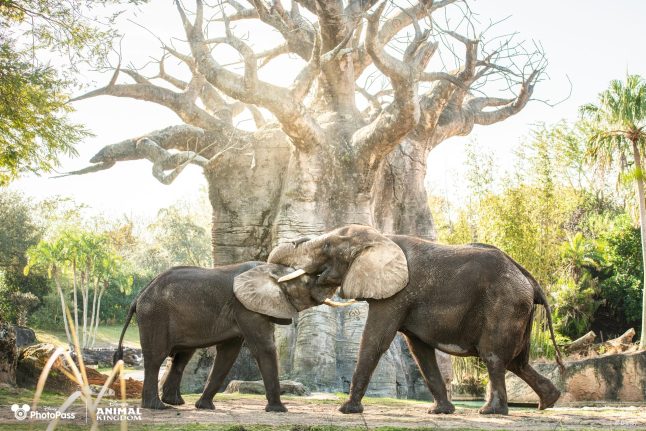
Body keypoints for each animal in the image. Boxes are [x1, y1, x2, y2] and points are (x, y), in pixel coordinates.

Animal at [113, 261, 341, 411]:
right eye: (308, 281)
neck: (270, 269)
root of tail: (138, 296)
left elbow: (228, 354)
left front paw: (204, 407)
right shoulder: (245, 307)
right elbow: (264, 348)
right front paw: (279, 410)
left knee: (182, 357)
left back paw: (175, 403)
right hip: (155, 316)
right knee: (156, 357)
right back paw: (158, 407)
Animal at [262, 224, 564, 415]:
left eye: (326, 246)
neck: (381, 237)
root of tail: (529, 279)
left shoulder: (398, 294)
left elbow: (375, 341)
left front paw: (347, 410)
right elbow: (420, 351)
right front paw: (440, 412)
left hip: (504, 304)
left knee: (494, 357)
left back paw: (491, 412)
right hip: (518, 309)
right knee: (517, 362)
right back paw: (548, 402)